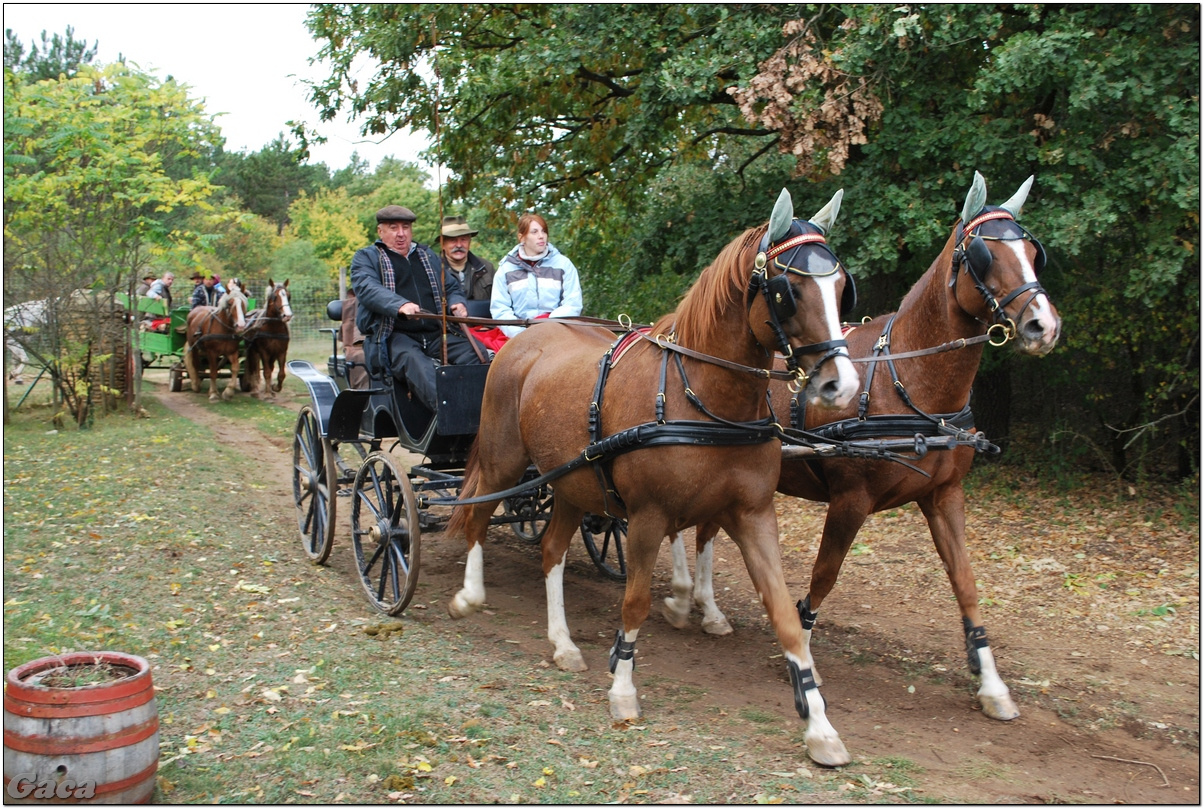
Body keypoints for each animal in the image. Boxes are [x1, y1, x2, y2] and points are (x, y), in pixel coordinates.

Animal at [447, 187, 862, 765]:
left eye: (842, 287)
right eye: (788, 291)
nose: (840, 385)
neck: (706, 399)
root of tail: (528, 338)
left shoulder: (753, 514)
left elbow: (785, 616)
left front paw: (820, 727)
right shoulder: (647, 517)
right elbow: (636, 601)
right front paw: (623, 688)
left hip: (571, 483)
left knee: (552, 551)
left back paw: (562, 642)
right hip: (505, 461)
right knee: (479, 515)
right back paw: (469, 594)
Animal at [669, 170, 1064, 727]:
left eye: (1032, 252)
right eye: (984, 255)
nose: (1043, 325)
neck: (910, 381)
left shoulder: (944, 495)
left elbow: (965, 582)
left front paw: (991, 683)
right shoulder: (850, 500)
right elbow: (825, 574)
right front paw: (803, 658)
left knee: (705, 527)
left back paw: (707, 608)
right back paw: (686, 596)